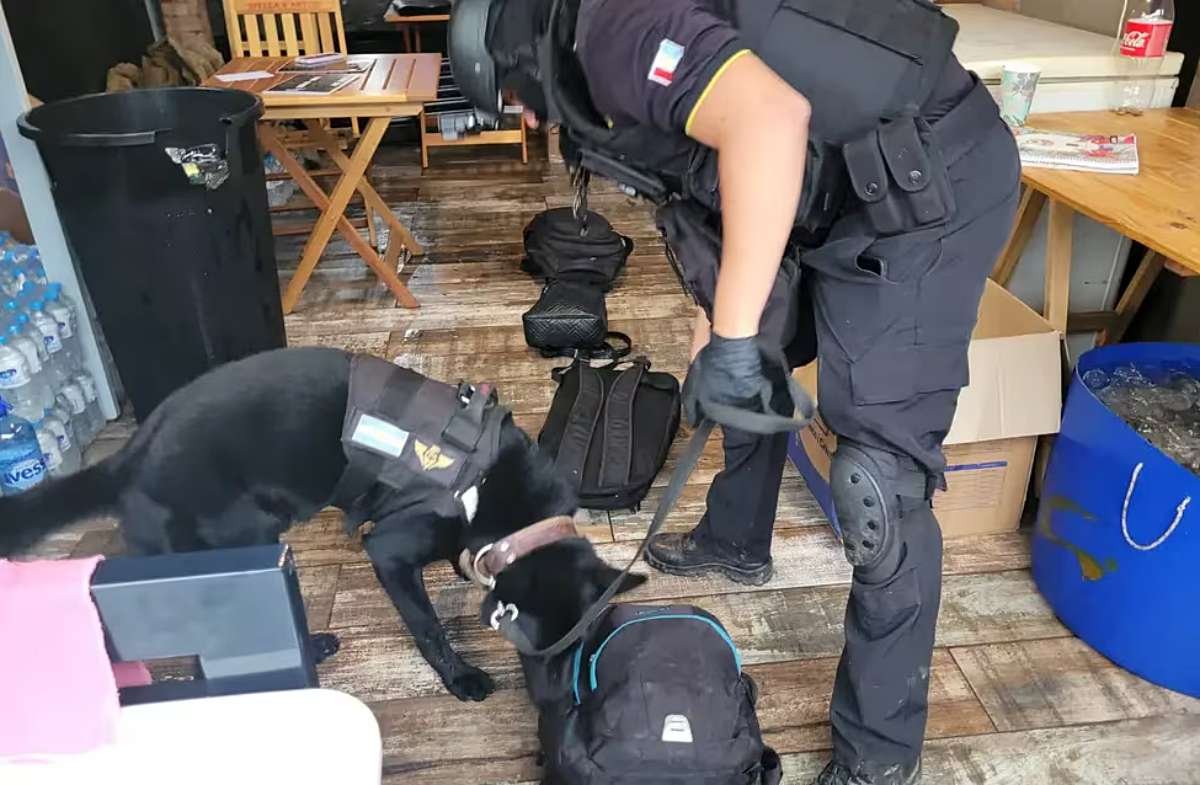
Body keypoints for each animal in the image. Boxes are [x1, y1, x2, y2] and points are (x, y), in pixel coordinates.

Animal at [0, 347, 646, 702]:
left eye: (585, 642)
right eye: (546, 649)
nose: (566, 700)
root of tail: (130, 456)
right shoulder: (389, 552)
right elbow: (428, 627)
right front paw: (460, 677)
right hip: (243, 542)